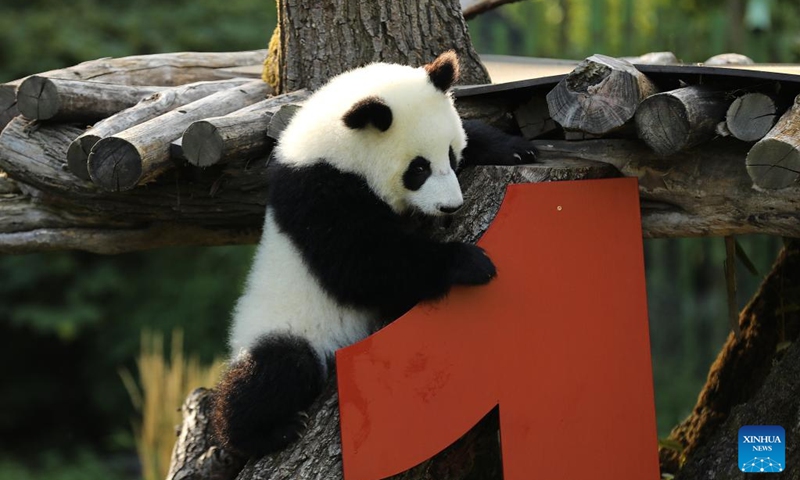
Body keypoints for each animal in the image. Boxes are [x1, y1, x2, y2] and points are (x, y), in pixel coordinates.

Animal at [212, 51, 536, 457]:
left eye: (450, 155)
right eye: (418, 168)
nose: (450, 207)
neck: (336, 149)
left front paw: (514, 147)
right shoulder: (318, 193)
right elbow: (362, 265)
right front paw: (469, 262)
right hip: (286, 325)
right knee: (279, 368)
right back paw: (262, 433)